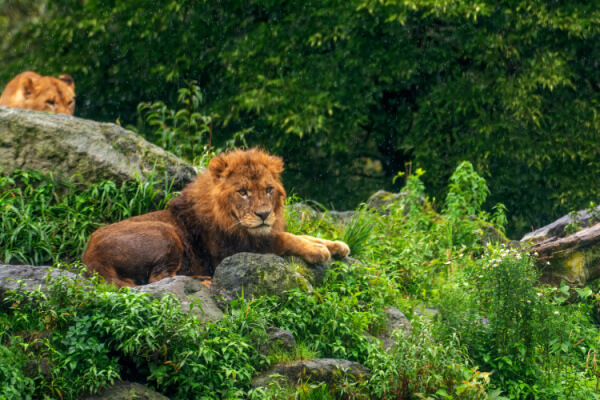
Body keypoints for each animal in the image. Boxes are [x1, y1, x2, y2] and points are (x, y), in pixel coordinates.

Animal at [82, 148, 350, 286]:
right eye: (242, 192)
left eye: (268, 189)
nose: (264, 214)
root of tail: (89, 257)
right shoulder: (234, 251)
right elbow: (286, 239)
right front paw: (318, 250)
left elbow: (299, 233)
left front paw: (337, 245)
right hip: (166, 233)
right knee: (158, 279)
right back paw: (204, 280)